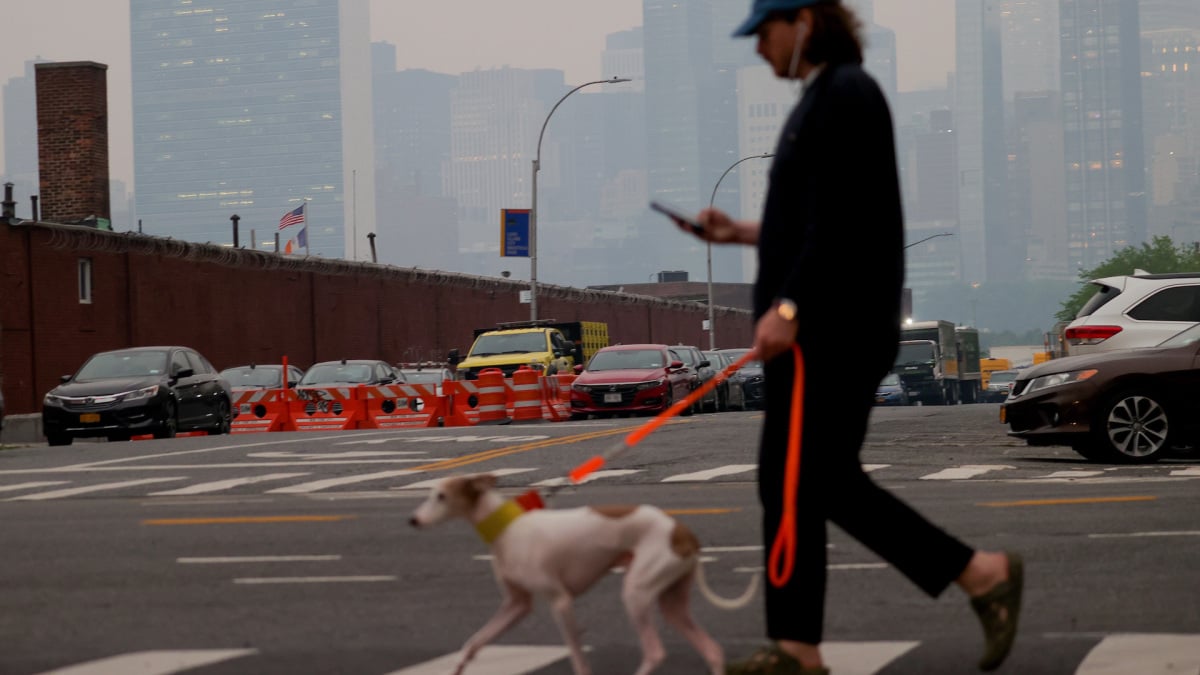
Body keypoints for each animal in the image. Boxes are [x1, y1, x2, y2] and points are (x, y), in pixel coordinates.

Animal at [408, 470, 753, 672]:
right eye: (432, 493)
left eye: (441, 495)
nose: (413, 521)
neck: (508, 529)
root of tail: (683, 532)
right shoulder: (516, 606)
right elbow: (473, 643)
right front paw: (458, 667)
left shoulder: (560, 601)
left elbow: (577, 657)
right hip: (671, 600)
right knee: (712, 650)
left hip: (637, 592)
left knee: (655, 652)